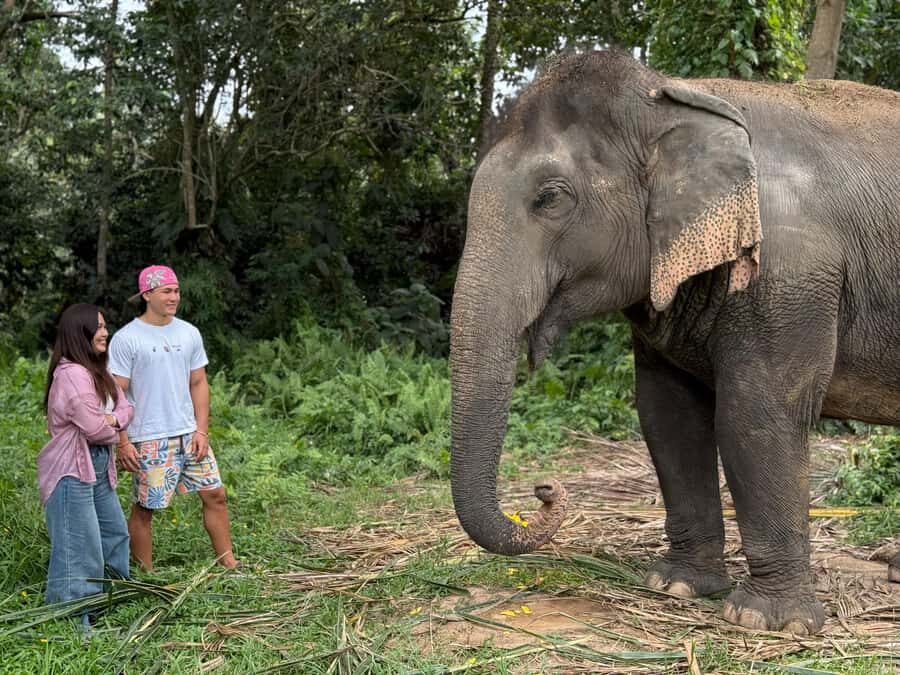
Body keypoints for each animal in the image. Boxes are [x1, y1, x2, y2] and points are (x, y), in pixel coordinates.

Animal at [449, 49, 900, 636]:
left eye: (548, 199)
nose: (544, 490)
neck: (671, 96)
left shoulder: (790, 274)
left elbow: (757, 415)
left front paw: (765, 620)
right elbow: (668, 414)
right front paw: (676, 586)